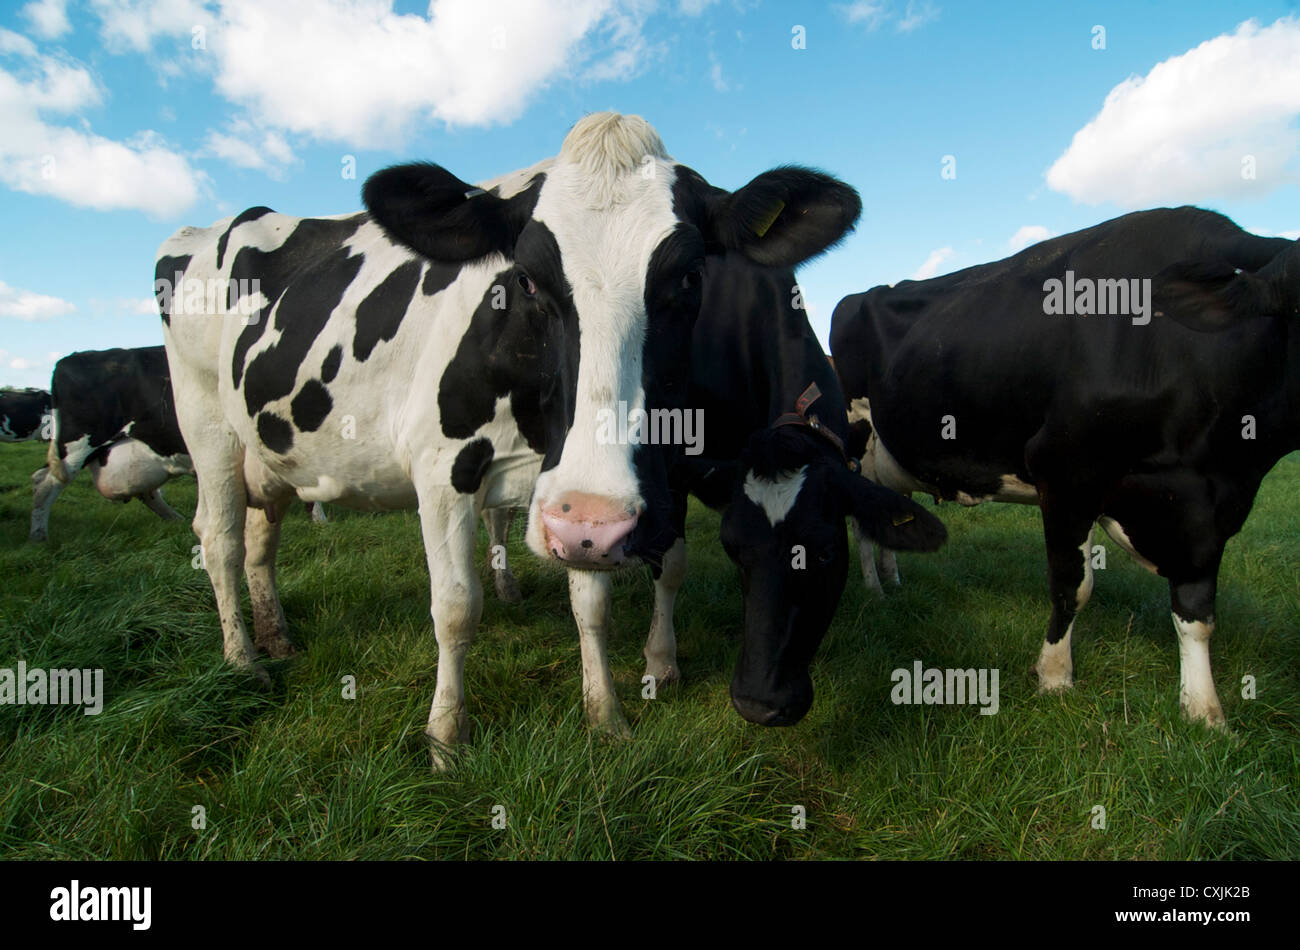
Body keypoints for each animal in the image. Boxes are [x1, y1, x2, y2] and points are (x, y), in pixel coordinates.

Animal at [158, 112, 861, 768]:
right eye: (525, 278)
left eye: (690, 279)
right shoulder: (443, 470)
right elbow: (455, 607)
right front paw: (446, 737)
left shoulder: (586, 502)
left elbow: (592, 601)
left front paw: (606, 715)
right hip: (206, 424)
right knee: (218, 539)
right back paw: (242, 659)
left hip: (268, 450)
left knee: (260, 538)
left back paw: (275, 635)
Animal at [830, 206, 1300, 728]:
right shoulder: (1065, 470)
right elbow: (1071, 585)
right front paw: (1054, 678)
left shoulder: (1208, 505)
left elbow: (1197, 610)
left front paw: (1203, 710)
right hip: (855, 444)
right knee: (861, 522)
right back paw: (874, 588)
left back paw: (892, 579)